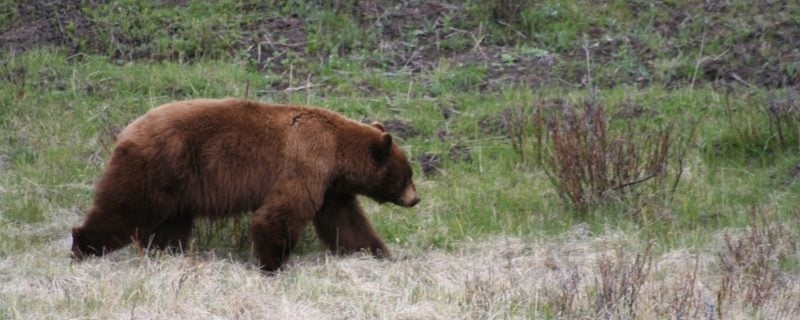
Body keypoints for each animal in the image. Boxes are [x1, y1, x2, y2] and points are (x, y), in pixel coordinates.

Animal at [70, 98, 418, 272]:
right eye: (407, 175)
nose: (415, 199)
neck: (337, 152)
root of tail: (128, 129)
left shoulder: (332, 187)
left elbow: (346, 223)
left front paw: (378, 254)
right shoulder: (307, 162)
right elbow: (281, 213)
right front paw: (272, 264)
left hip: (177, 187)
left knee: (170, 226)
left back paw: (168, 255)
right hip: (155, 167)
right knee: (123, 210)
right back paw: (82, 248)